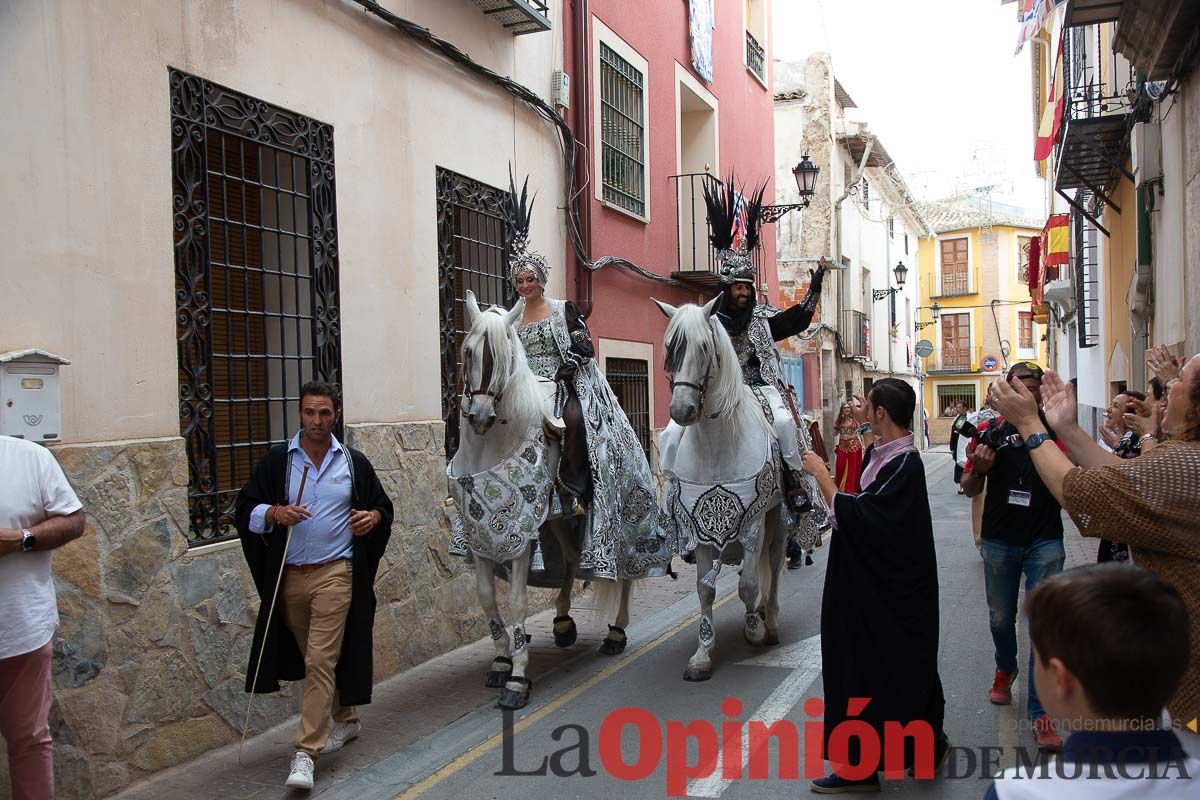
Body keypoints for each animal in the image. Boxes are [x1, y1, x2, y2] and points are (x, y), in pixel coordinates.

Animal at [451, 291, 633, 710]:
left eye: (506, 355)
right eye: (468, 351)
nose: (480, 415)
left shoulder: (521, 538)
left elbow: (517, 602)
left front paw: (517, 680)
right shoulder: (481, 535)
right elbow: (487, 598)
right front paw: (501, 661)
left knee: (628, 568)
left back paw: (616, 632)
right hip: (560, 520)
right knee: (571, 558)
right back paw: (563, 623)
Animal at [657, 297, 787, 681]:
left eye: (704, 347)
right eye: (670, 348)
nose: (682, 410)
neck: (717, 442)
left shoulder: (753, 521)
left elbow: (748, 584)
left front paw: (754, 629)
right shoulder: (699, 529)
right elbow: (704, 589)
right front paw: (702, 654)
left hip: (778, 519)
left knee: (774, 563)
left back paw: (770, 621)